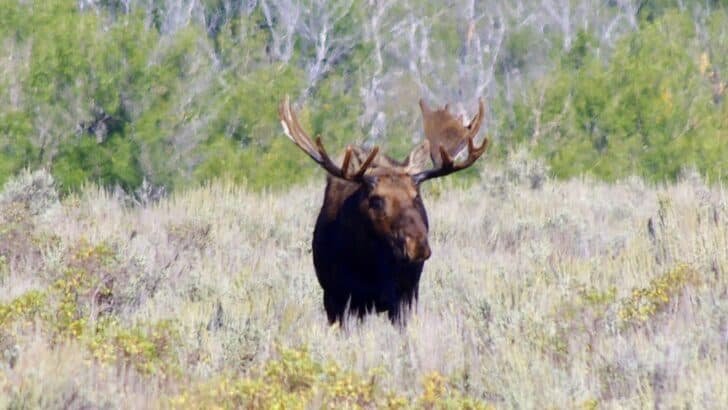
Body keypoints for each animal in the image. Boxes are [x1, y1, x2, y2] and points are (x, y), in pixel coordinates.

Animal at [278, 96, 489, 324]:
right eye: (376, 199)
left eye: (417, 196)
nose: (418, 245)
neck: (368, 264)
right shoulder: (336, 298)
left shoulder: (402, 297)